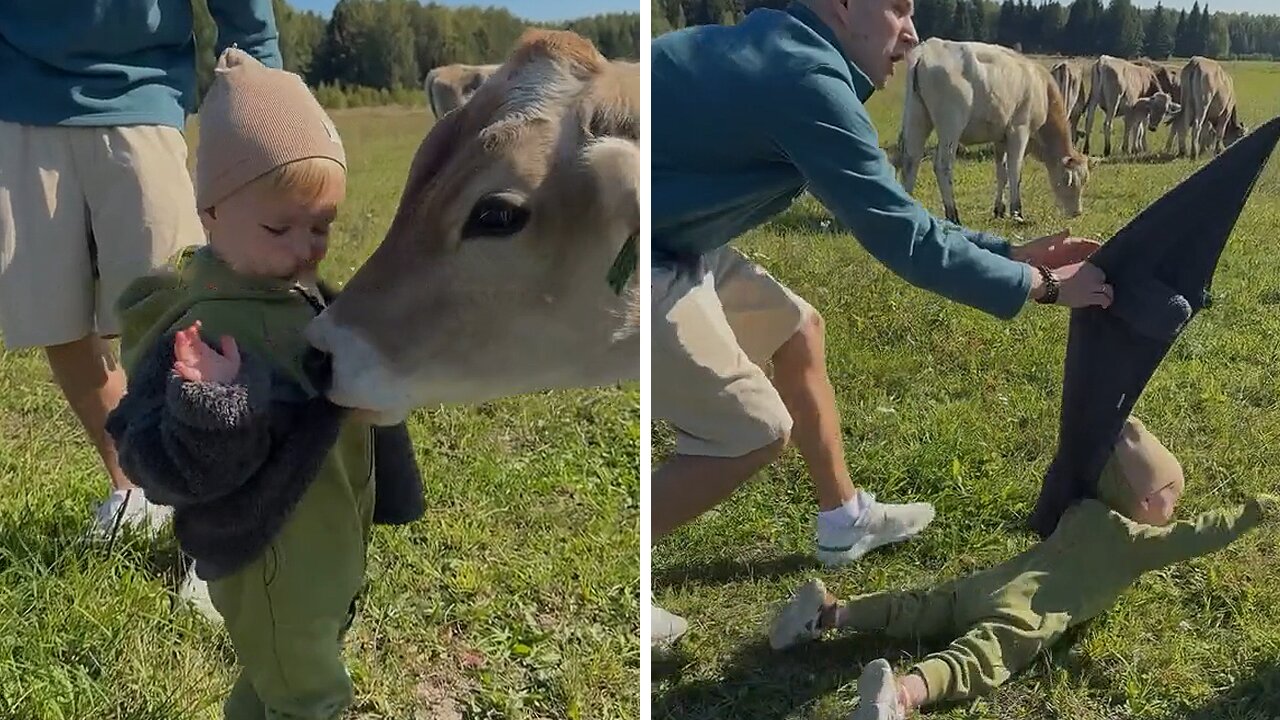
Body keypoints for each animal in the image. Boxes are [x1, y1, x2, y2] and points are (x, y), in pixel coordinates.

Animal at [896, 38, 1095, 221]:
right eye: (1070, 181)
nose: (1077, 212)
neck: (1042, 89)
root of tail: (927, 49)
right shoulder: (1019, 130)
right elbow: (1015, 171)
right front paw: (1017, 211)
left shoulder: (1000, 138)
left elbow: (1002, 172)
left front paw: (999, 209)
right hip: (950, 126)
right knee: (942, 166)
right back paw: (953, 214)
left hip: (917, 118)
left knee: (911, 161)